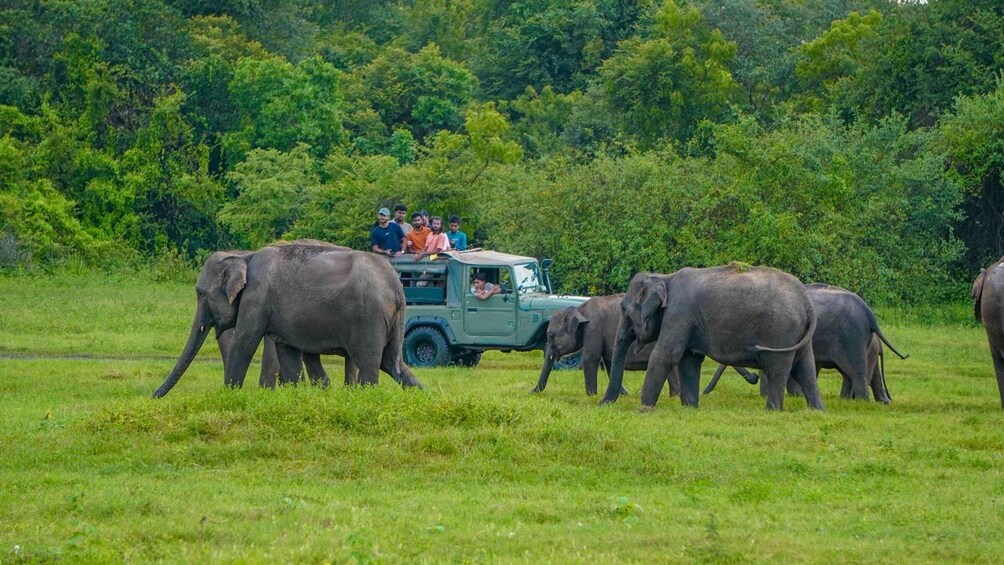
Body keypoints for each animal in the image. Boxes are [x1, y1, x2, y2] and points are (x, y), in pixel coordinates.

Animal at [153, 241, 421, 398]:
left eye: (200, 292)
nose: (153, 396)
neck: (245, 257)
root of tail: (396, 284)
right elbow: (287, 350)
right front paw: (294, 395)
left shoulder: (257, 298)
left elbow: (245, 343)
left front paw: (229, 396)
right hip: (387, 320)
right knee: (391, 362)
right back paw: (420, 395)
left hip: (368, 318)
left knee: (369, 362)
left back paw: (365, 396)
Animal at [602, 264, 823, 411]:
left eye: (624, 308)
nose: (601, 404)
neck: (664, 278)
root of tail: (806, 301)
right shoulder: (688, 320)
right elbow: (689, 360)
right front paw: (689, 407)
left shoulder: (679, 313)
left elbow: (665, 355)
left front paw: (645, 409)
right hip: (797, 334)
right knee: (805, 369)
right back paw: (817, 410)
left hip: (780, 331)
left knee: (778, 368)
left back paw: (772, 410)